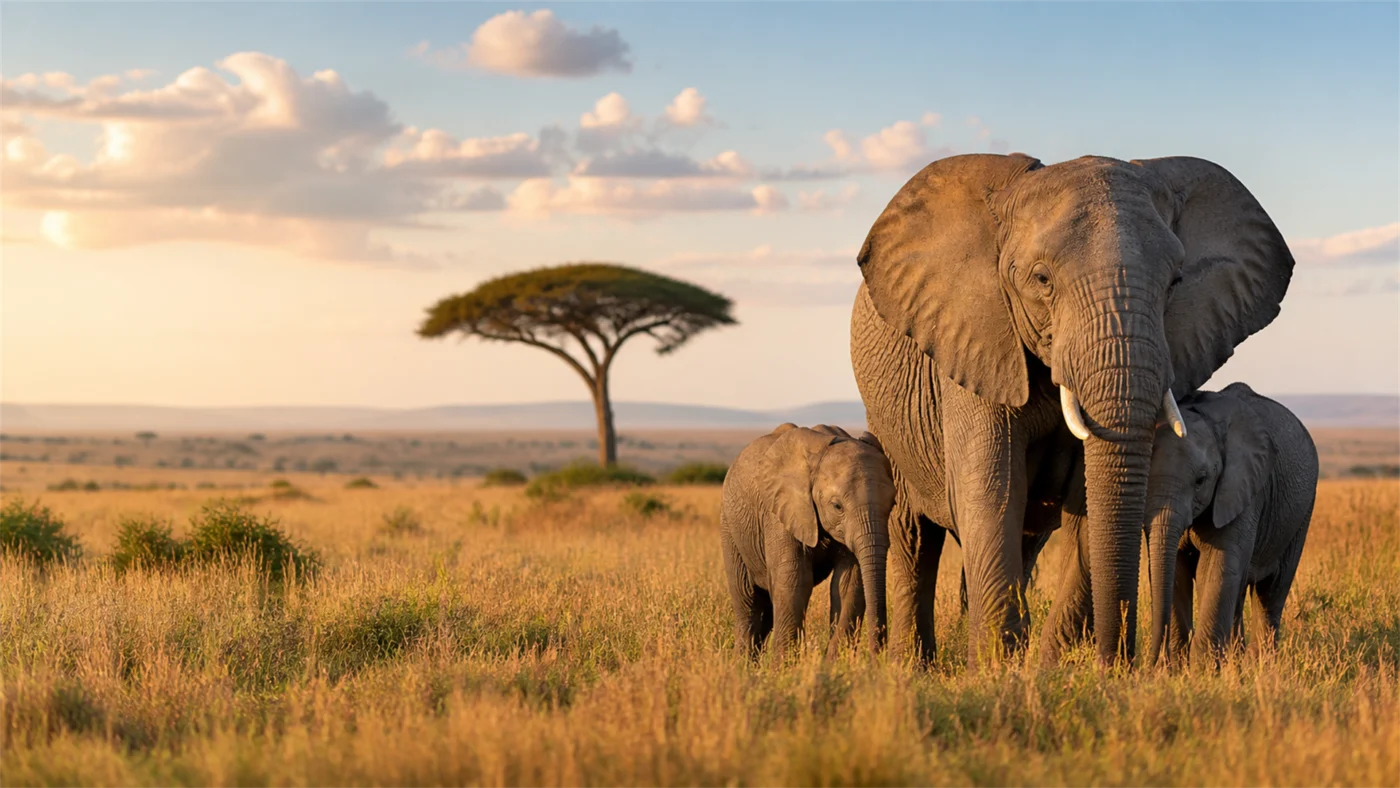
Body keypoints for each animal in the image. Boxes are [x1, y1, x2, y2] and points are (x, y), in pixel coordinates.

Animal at [720, 423, 894, 657]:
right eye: (837, 506)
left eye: (893, 504)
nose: (879, 657)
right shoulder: (779, 512)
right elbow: (794, 581)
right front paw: (783, 665)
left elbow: (848, 584)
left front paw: (833, 664)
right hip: (730, 527)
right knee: (748, 602)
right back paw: (741, 663)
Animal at [850, 153, 1295, 666]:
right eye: (1042, 279)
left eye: (1176, 282)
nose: (1126, 661)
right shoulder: (974, 339)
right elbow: (992, 491)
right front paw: (999, 670)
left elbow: (1085, 504)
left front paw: (1047, 669)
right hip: (886, 422)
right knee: (914, 537)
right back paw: (911, 665)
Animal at [1143, 382, 1318, 666]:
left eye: (1201, 480)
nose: (1152, 664)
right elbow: (1177, 570)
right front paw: (1179, 669)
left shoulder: (1243, 490)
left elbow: (1217, 565)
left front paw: (1202, 670)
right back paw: (1236, 661)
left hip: (1301, 513)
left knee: (1271, 592)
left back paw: (1262, 665)